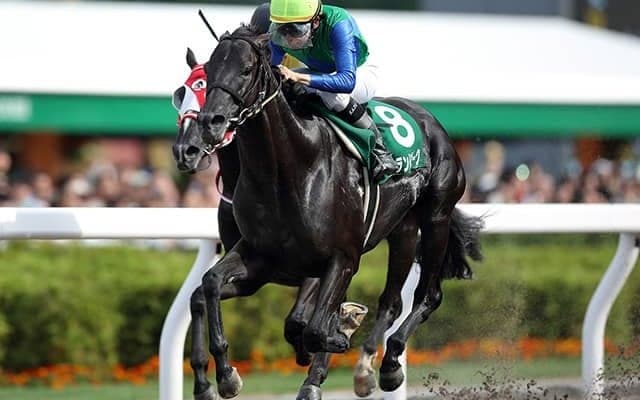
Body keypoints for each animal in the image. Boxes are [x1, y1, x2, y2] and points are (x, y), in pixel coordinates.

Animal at [172, 26, 482, 400]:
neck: (289, 170)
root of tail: (429, 120)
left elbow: (314, 327)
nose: (200, 135)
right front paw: (222, 376)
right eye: (182, 92)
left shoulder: (339, 258)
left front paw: (335, 336)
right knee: (392, 300)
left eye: (245, 70)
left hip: (436, 216)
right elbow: (208, 285)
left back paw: (388, 362)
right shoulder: (260, 257)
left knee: (429, 294)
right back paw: (370, 367)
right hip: (403, 229)